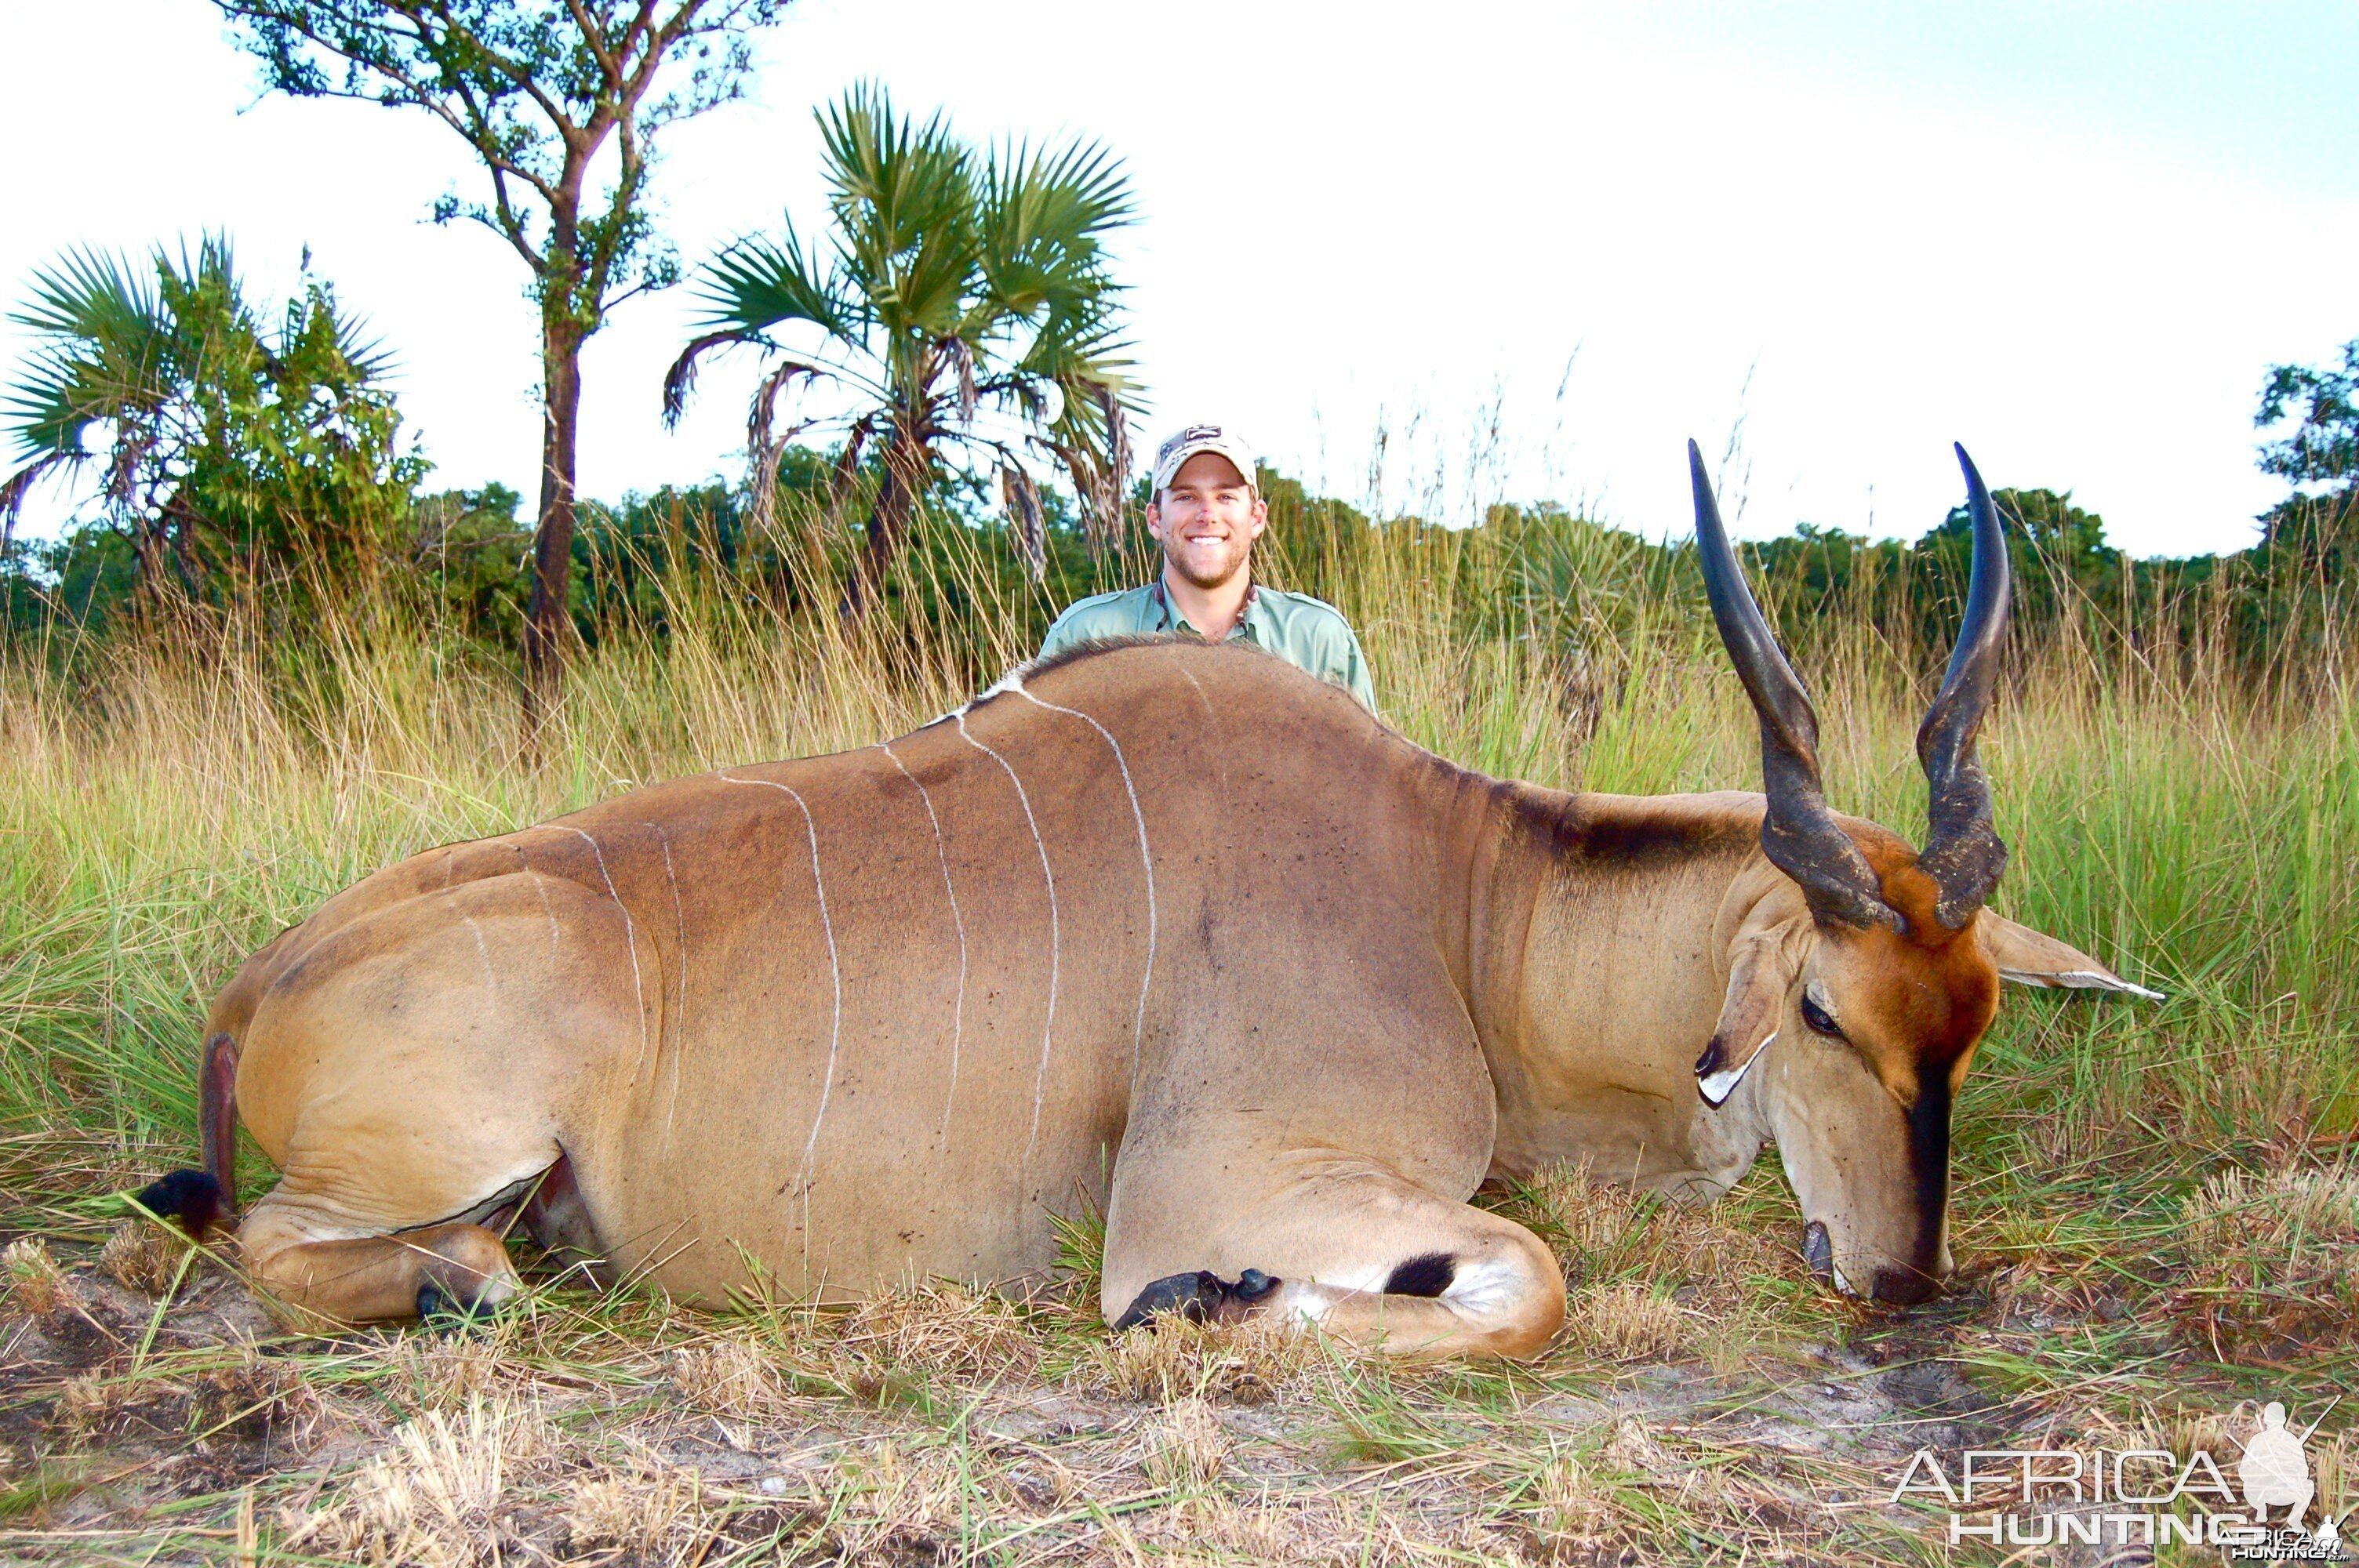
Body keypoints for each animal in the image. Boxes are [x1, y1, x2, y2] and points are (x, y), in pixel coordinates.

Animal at [137, 443, 2151, 1358]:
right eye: (1817, 1008)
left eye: (1970, 1022)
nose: (1900, 1278)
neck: (1455, 893)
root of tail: (260, 986)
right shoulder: (1234, 1174)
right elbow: (1521, 1276)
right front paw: (1215, 1305)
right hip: (450, 1144)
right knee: (272, 1242)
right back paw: (463, 1276)